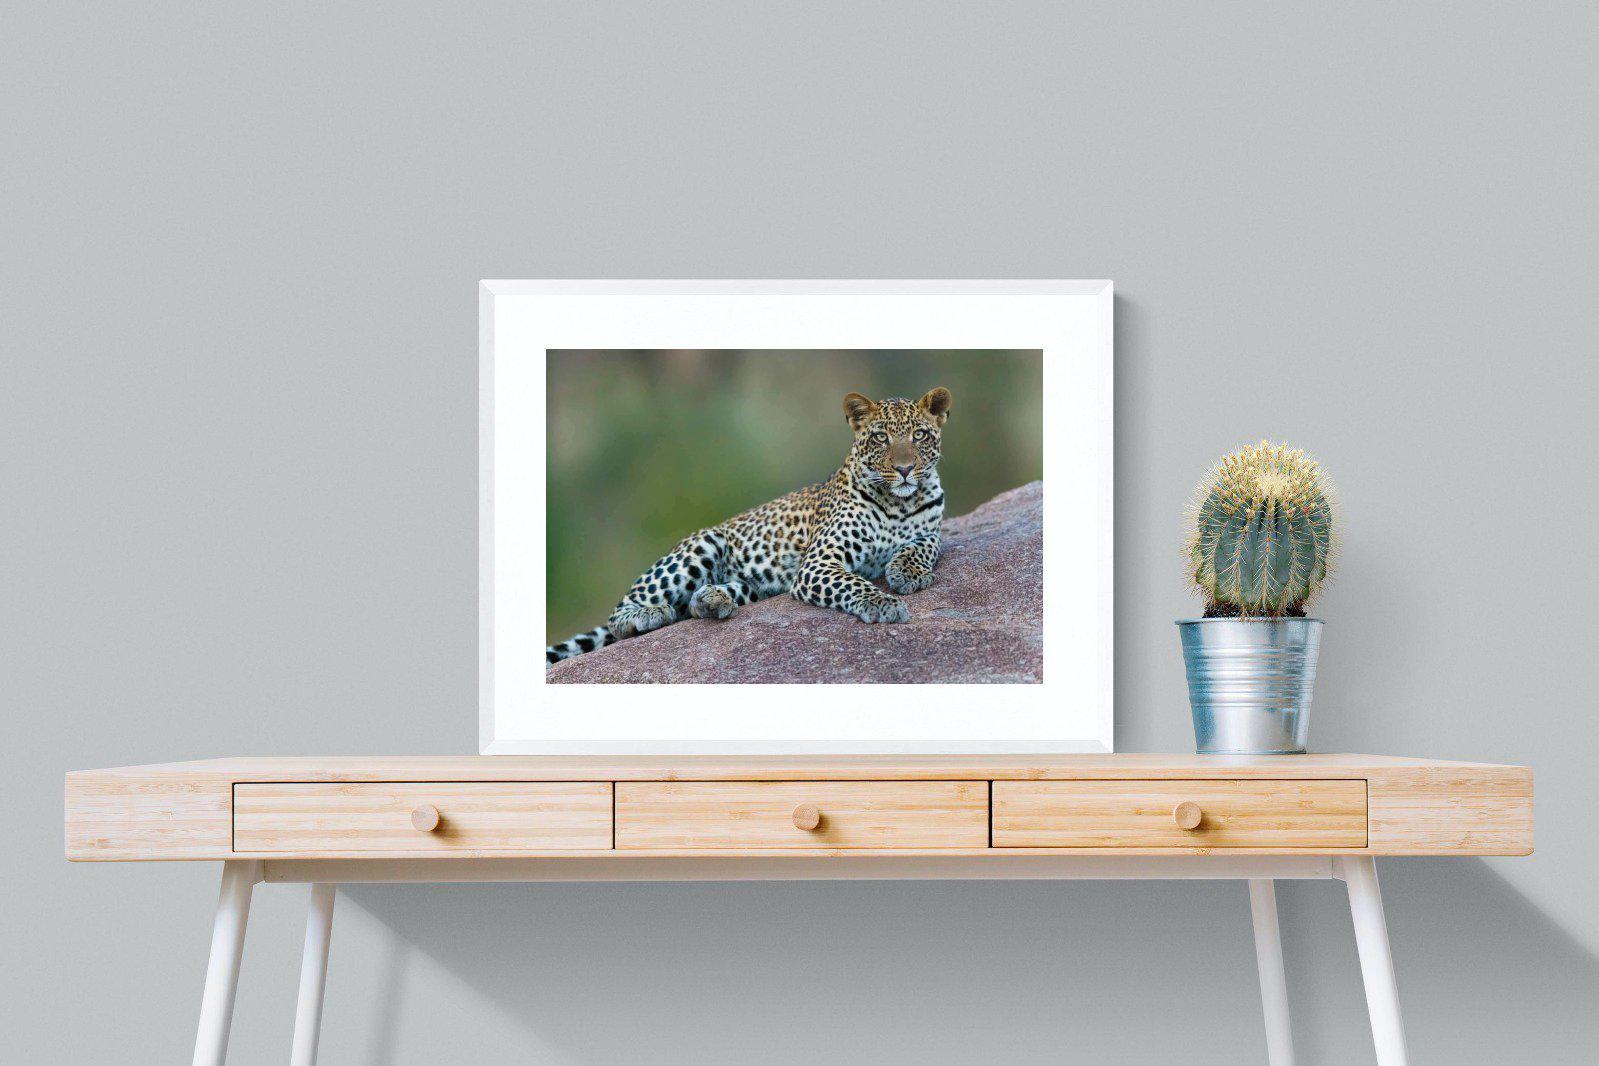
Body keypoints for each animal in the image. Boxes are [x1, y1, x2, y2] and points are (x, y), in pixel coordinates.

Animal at [546, 387, 952, 665]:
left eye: (919, 435)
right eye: (881, 437)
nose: (904, 469)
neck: (899, 502)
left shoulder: (931, 530)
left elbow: (922, 546)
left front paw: (907, 572)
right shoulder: (819, 562)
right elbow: (852, 582)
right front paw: (883, 602)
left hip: (752, 585)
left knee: (696, 603)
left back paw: (712, 601)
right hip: (700, 546)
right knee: (621, 614)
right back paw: (650, 614)